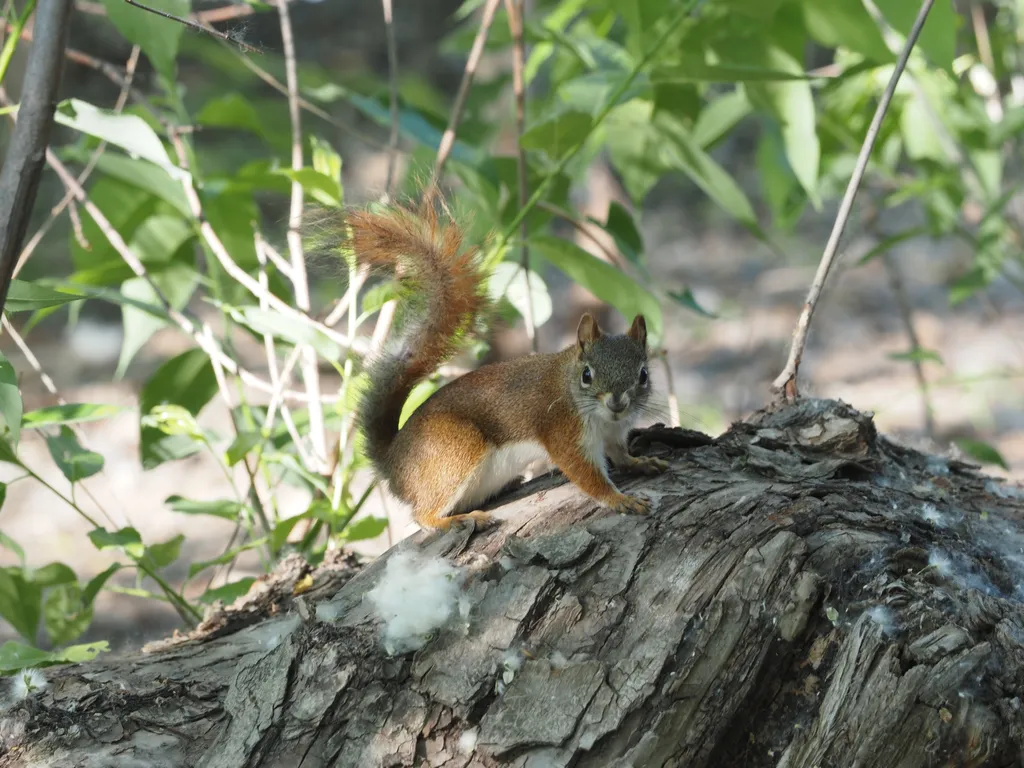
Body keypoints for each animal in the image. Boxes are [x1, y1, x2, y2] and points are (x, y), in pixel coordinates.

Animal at [347, 193, 669, 531]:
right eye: (587, 375)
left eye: (643, 375)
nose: (617, 403)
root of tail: (393, 461)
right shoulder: (563, 432)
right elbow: (586, 476)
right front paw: (620, 499)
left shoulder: (615, 434)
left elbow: (620, 455)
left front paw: (641, 463)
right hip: (454, 448)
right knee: (423, 516)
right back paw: (456, 520)